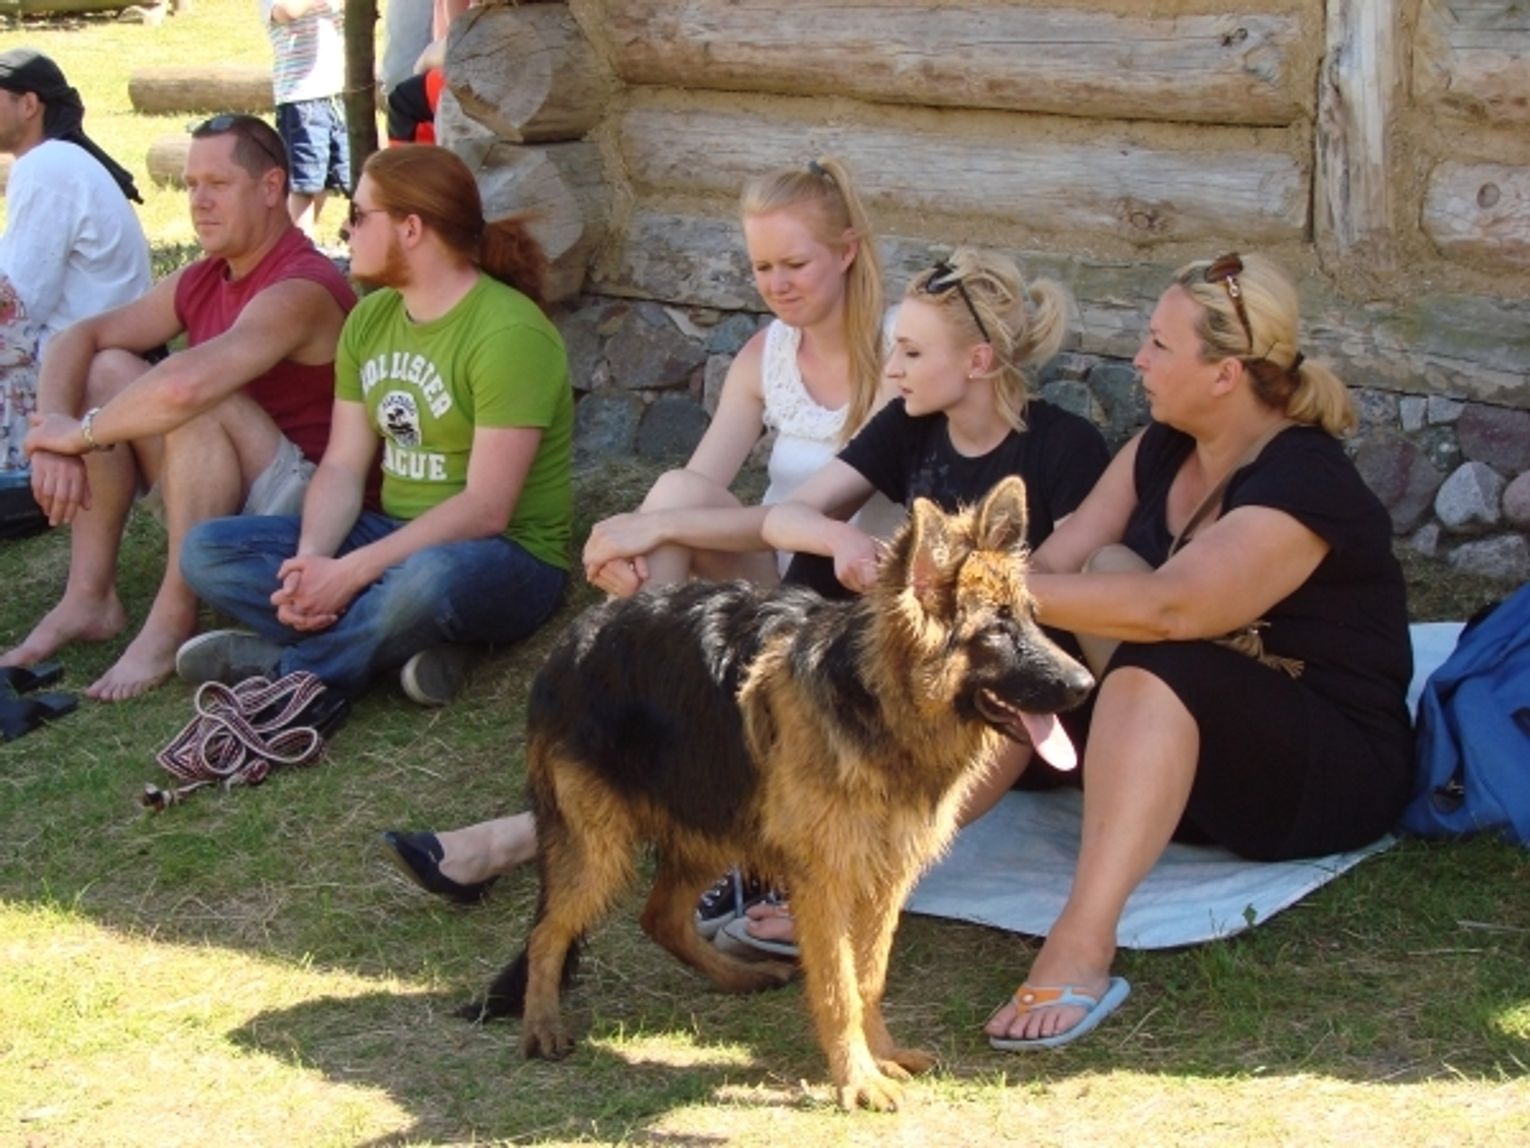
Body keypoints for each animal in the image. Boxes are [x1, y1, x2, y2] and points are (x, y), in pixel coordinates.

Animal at [466, 476, 1093, 1111]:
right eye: (997, 630)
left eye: (1033, 619)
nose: (1086, 685)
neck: (877, 703)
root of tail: (571, 641)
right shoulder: (825, 881)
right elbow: (839, 987)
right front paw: (858, 1080)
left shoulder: (884, 876)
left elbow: (868, 979)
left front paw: (882, 1056)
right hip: (602, 850)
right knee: (547, 933)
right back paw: (542, 1025)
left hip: (715, 824)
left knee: (659, 917)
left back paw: (738, 976)